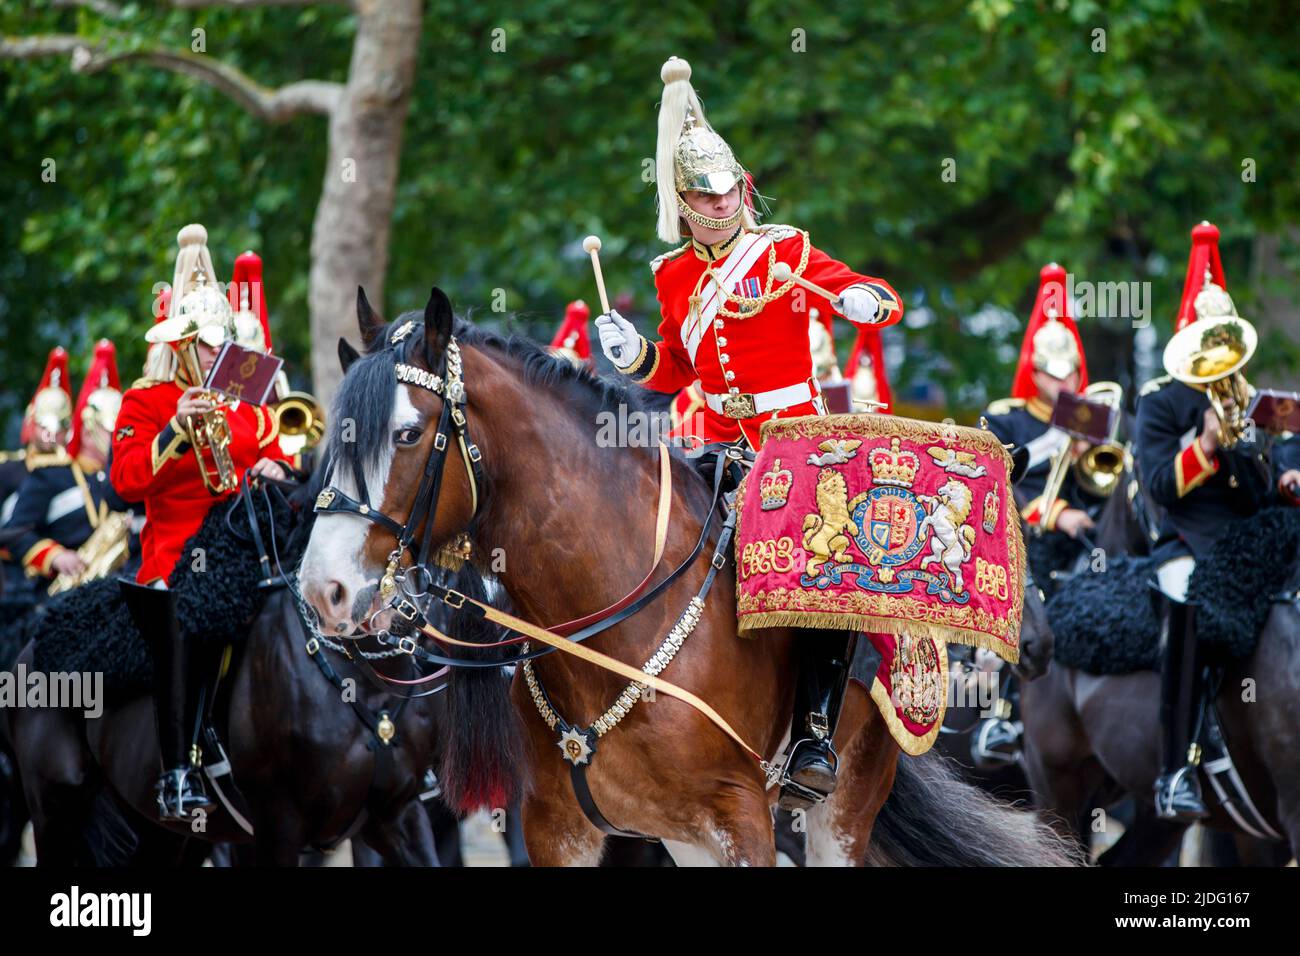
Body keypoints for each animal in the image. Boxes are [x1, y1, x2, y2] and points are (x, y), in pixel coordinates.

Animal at [297, 290, 1076, 868]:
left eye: (406, 434)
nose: (322, 591)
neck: (608, 622)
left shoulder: (742, 818)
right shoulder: (560, 829)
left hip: (845, 802)